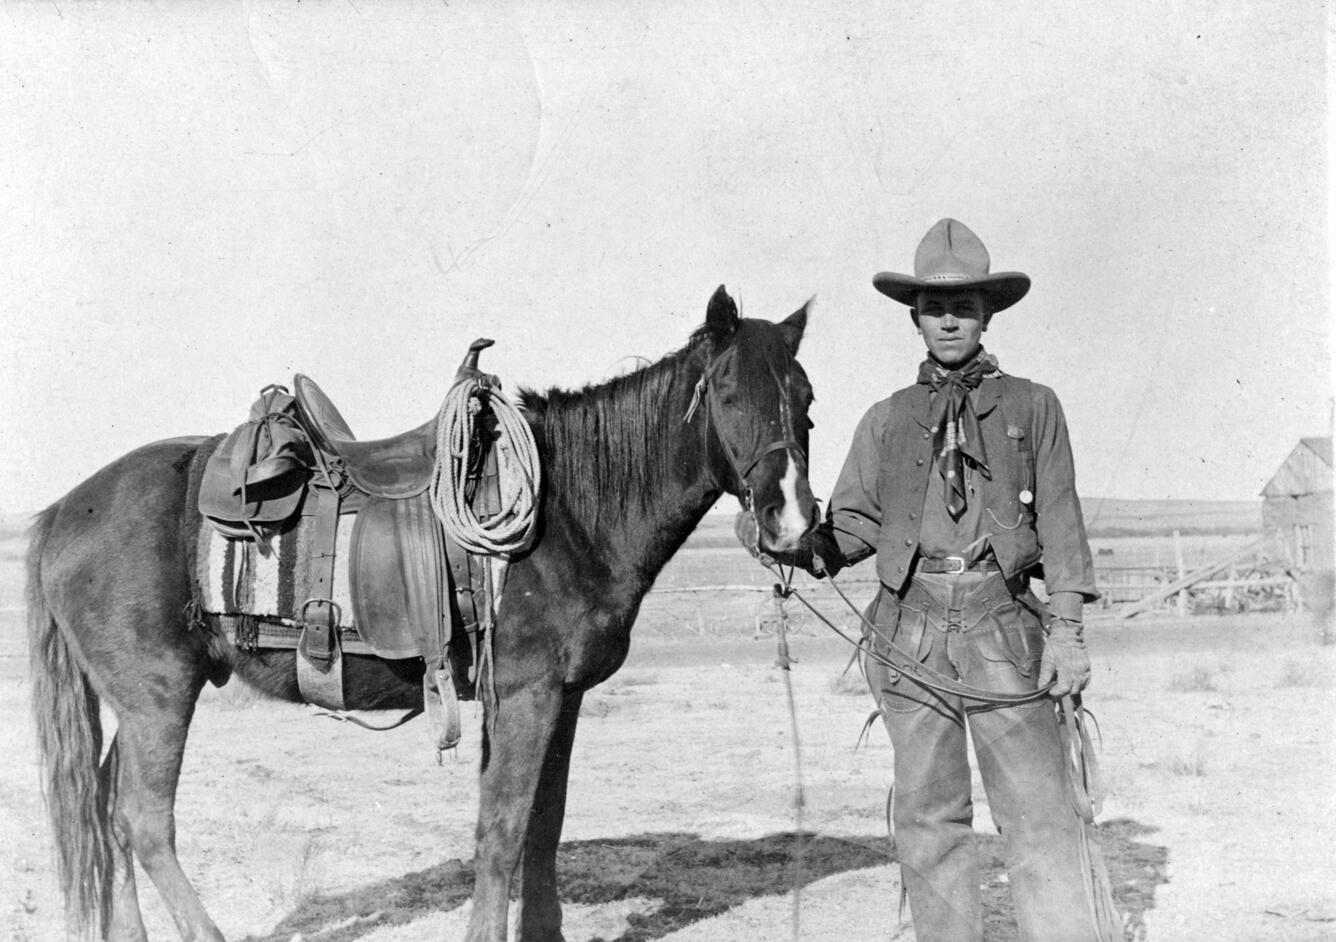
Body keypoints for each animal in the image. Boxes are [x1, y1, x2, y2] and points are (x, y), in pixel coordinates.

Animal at [26, 285, 818, 942]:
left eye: (807, 397)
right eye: (727, 393)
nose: (792, 521)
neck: (569, 511)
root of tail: (64, 509)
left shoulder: (558, 699)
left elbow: (543, 827)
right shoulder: (523, 695)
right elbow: (502, 830)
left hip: (138, 704)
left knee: (106, 810)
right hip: (157, 697)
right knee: (143, 821)